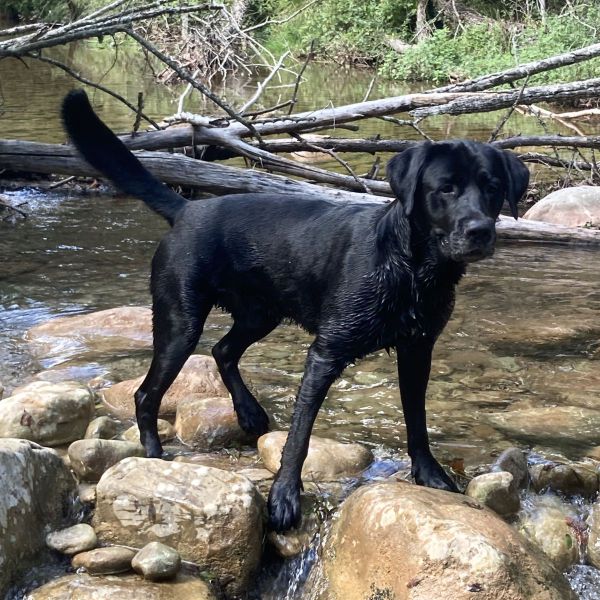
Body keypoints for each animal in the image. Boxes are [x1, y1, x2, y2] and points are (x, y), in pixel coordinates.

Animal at [62, 89, 528, 528]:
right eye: (445, 188)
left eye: (492, 188)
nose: (480, 230)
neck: (411, 268)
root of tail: (188, 207)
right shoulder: (325, 354)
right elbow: (299, 437)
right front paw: (284, 497)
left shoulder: (418, 351)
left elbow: (417, 420)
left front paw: (429, 474)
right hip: (181, 323)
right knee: (148, 391)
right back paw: (154, 456)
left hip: (259, 315)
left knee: (223, 351)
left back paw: (249, 413)